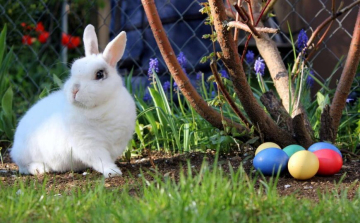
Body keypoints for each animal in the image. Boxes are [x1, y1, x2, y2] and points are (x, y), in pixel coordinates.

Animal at [10, 24, 136, 178]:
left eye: (99, 74)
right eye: (73, 70)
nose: (74, 90)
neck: (100, 106)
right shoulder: (89, 144)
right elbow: (101, 160)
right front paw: (112, 172)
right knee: (24, 167)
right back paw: (39, 169)